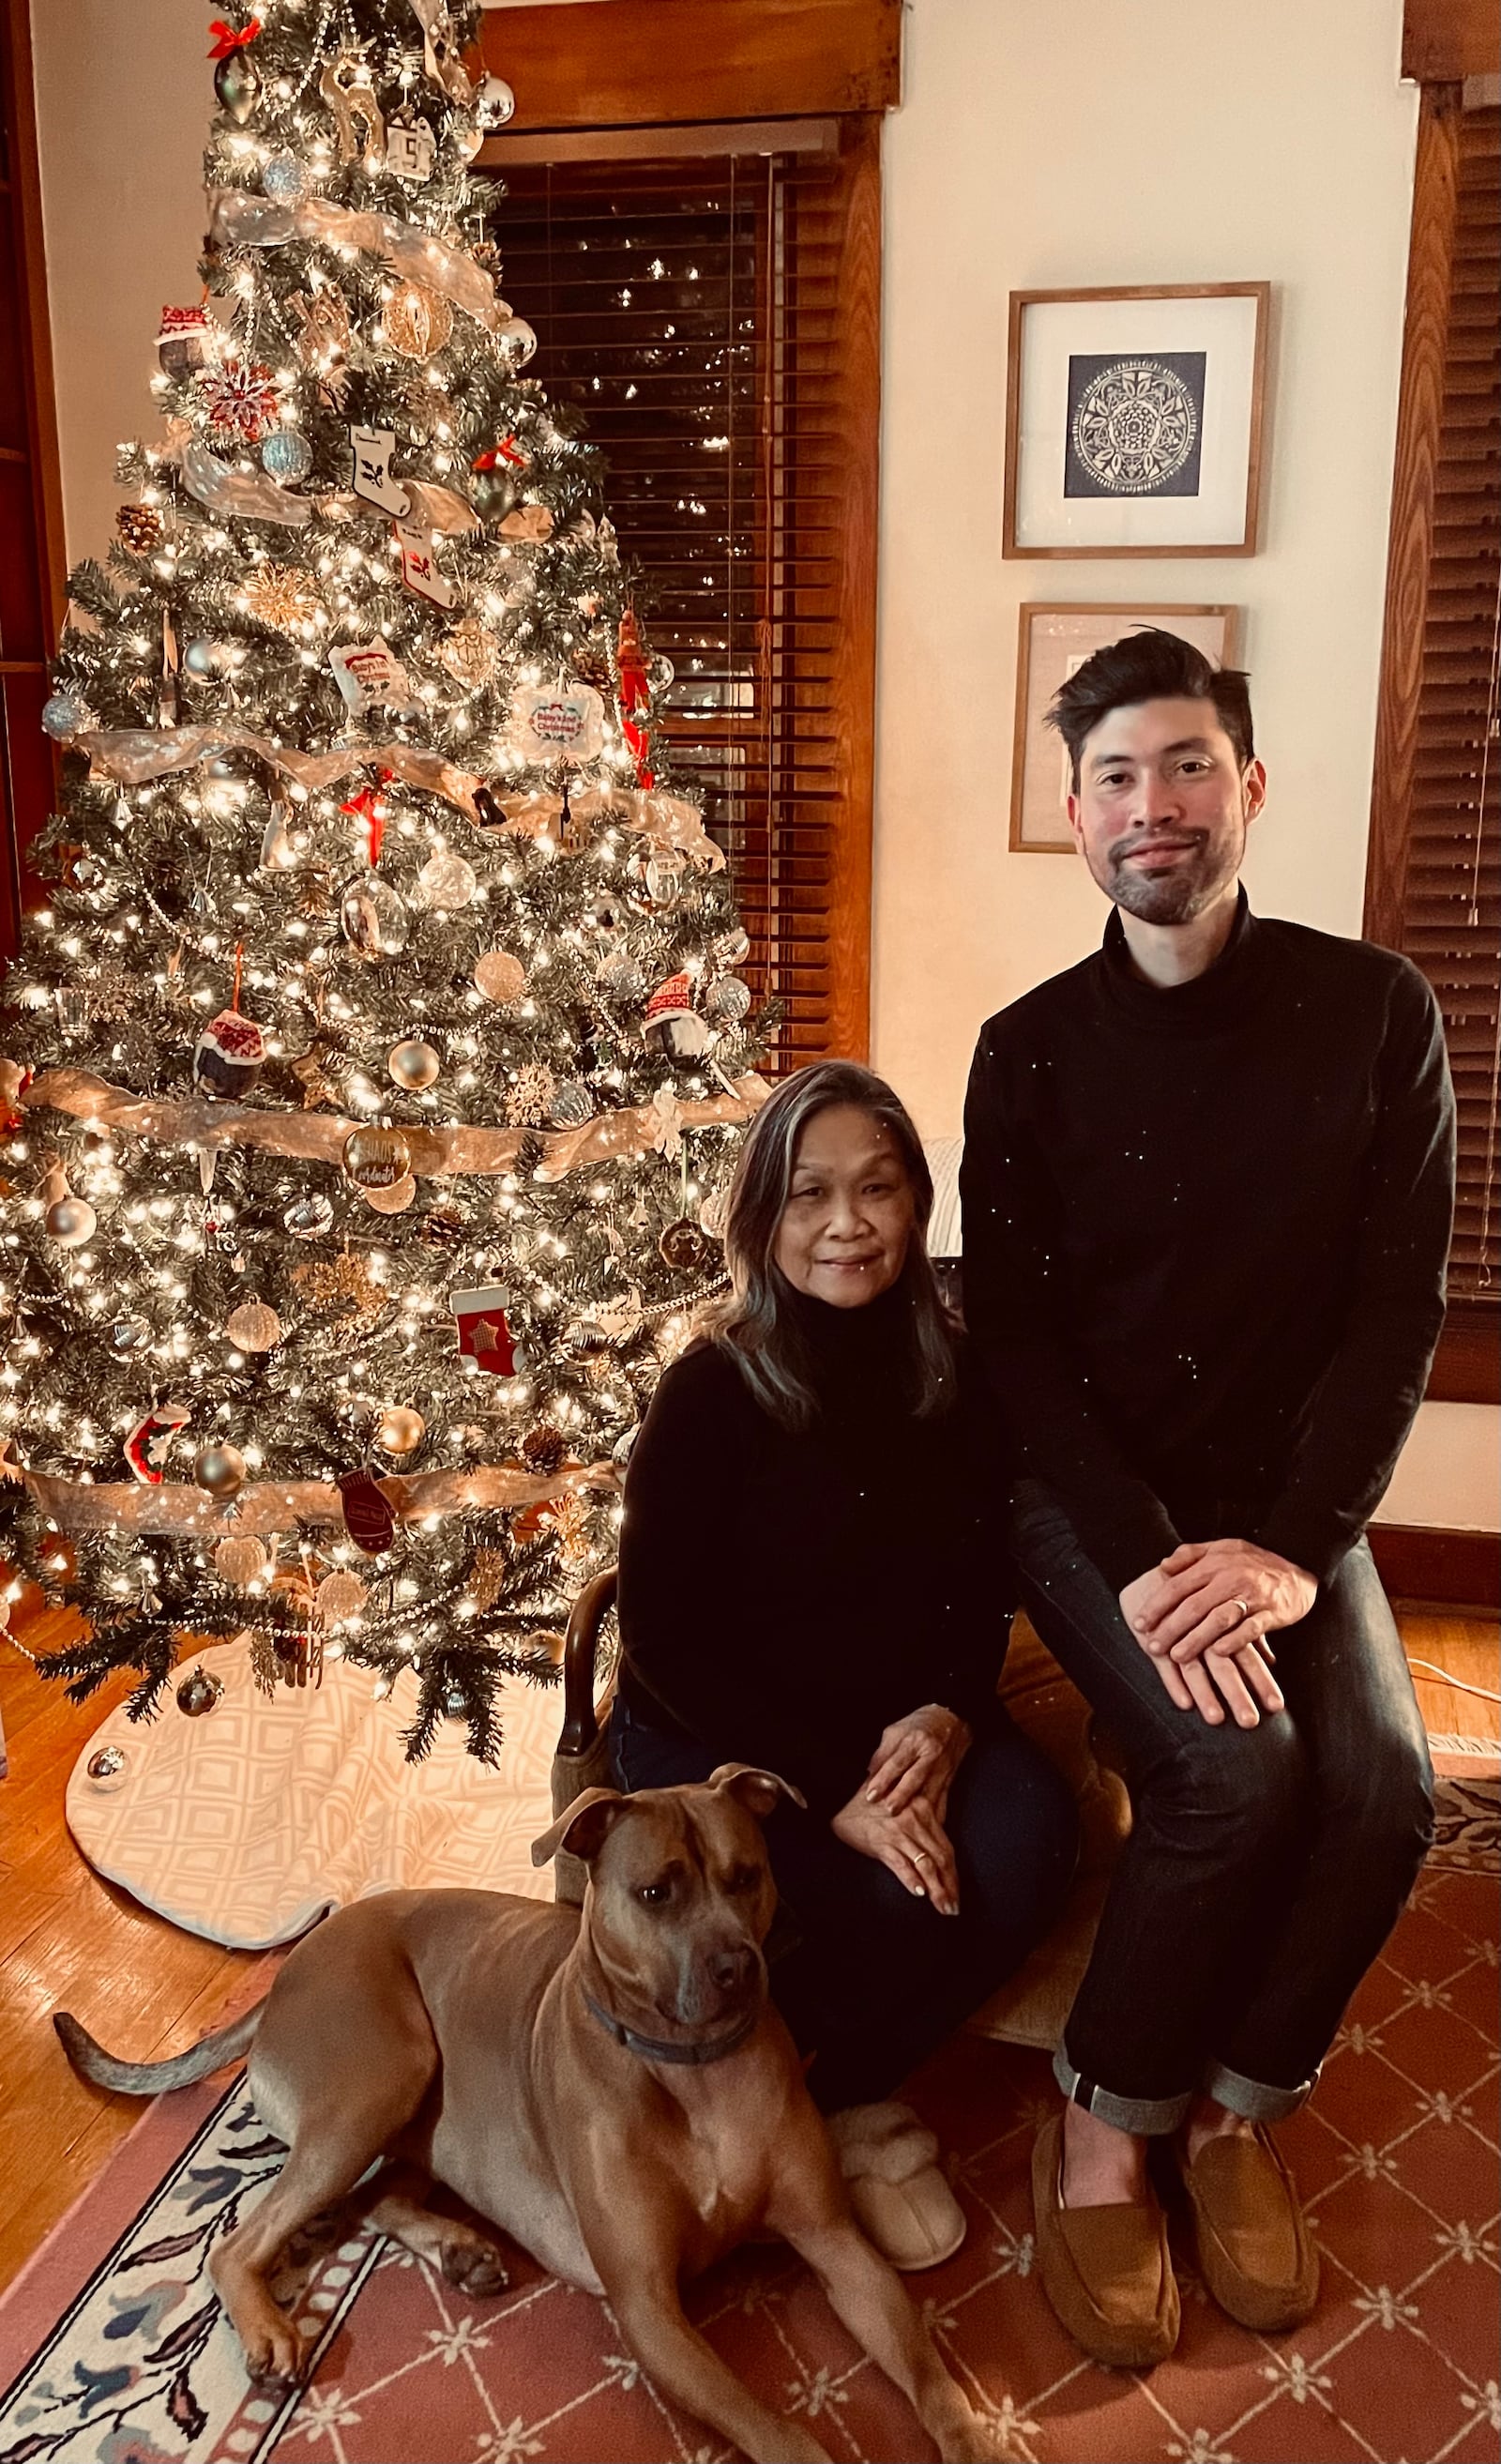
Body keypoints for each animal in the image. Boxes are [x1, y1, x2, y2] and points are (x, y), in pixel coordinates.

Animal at [58, 1773, 1000, 2464]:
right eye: (654, 1892)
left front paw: (978, 2442)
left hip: (416, 2117)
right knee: (243, 2238)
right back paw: (271, 2326)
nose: (739, 1966)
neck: (695, 2073)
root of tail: (288, 1971)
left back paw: (457, 2250)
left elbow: (935, 2381)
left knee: (368, 2200)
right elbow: (779, 2433)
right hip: (382, 2073)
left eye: (747, 1876)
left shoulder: (839, 2246)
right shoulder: (650, 2309)